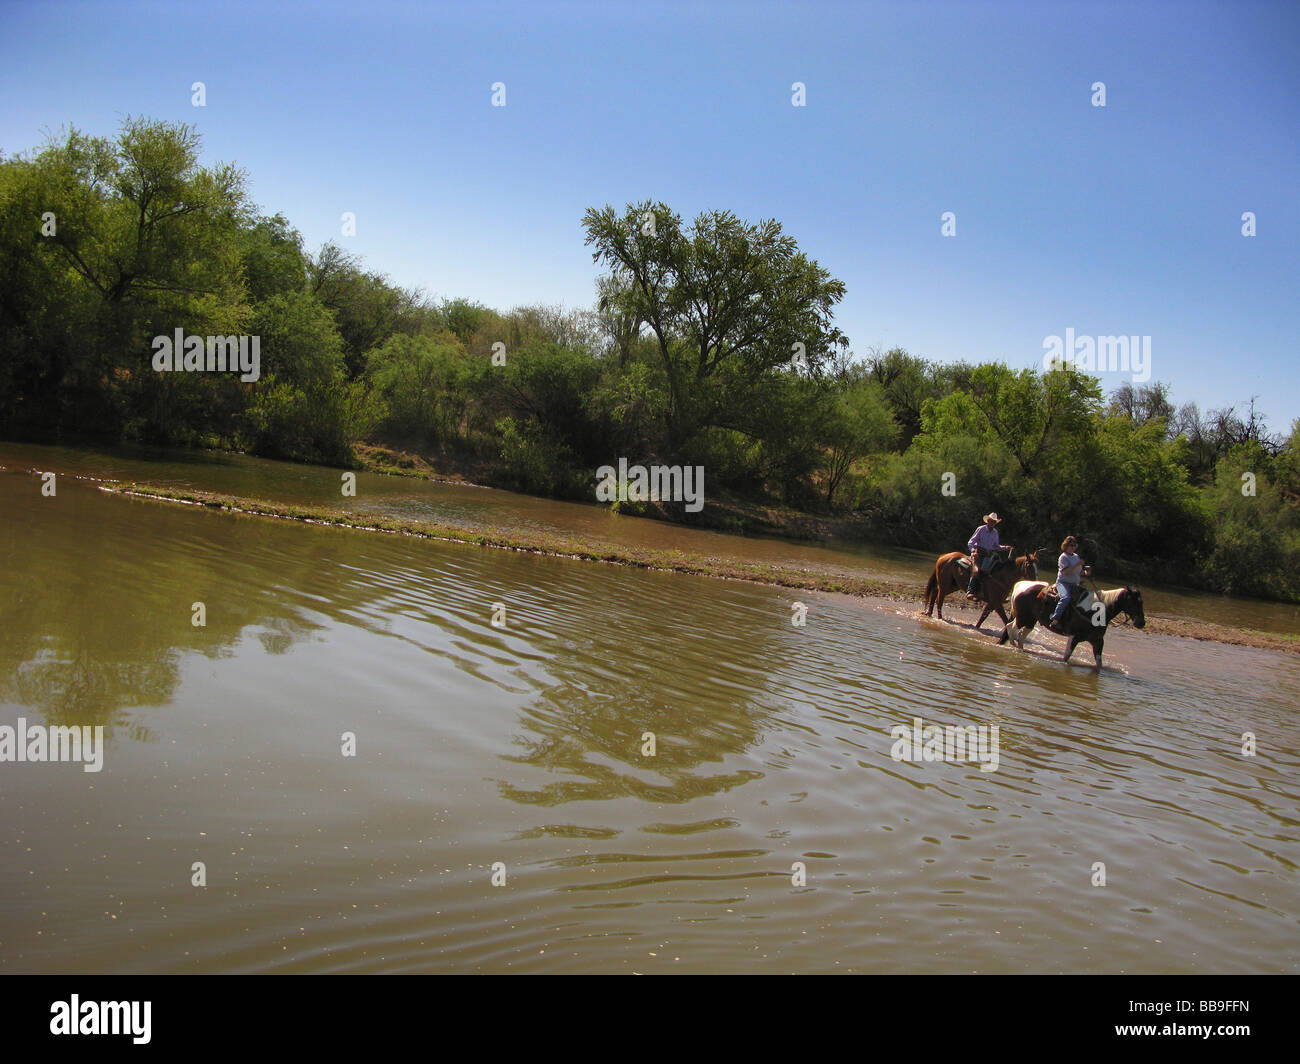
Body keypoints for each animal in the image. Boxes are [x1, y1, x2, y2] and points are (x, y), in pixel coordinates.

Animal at [997, 580, 1146, 669]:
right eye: (1134, 601)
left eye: (1141, 602)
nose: (1141, 623)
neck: (1095, 612)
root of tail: (1020, 585)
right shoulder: (1075, 637)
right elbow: (1066, 656)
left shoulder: (1098, 641)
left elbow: (1099, 664)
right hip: (1023, 618)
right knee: (1011, 628)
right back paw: (1013, 645)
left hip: (1030, 621)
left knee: (1021, 634)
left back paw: (1021, 649)